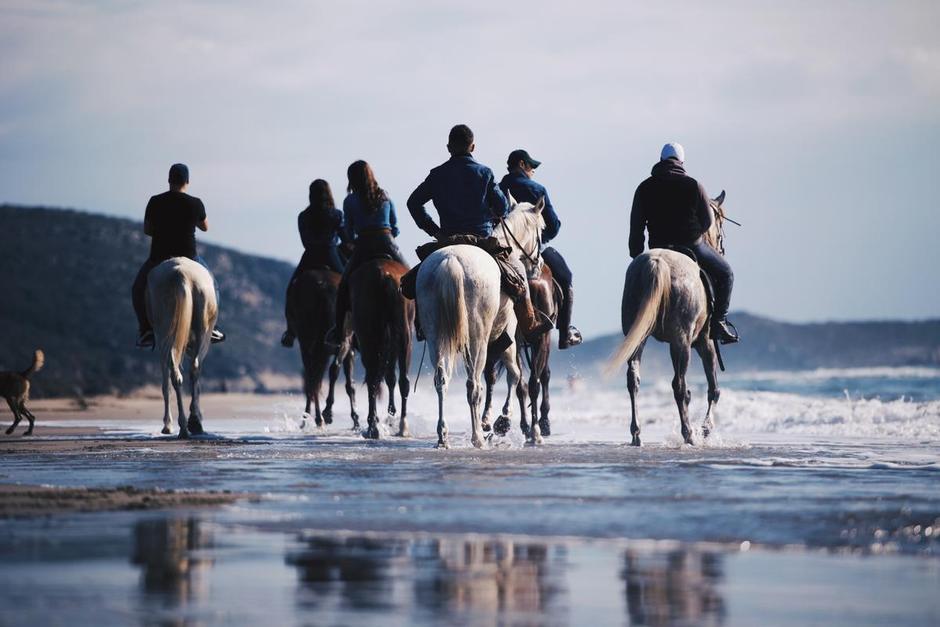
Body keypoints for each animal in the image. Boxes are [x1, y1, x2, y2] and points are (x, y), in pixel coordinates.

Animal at [147, 258, 218, 440]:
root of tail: (181, 274)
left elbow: (166, 384)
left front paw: (168, 424)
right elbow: (196, 383)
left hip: (164, 333)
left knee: (173, 376)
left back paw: (182, 426)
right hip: (202, 333)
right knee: (192, 370)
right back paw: (191, 423)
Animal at [284, 268, 358, 430]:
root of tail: (323, 286)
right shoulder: (349, 350)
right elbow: (349, 384)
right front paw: (355, 419)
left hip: (307, 341)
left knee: (312, 378)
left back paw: (315, 417)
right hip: (334, 343)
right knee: (327, 372)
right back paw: (324, 415)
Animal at [348, 258, 414, 440]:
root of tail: (384, 275)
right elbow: (390, 377)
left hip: (369, 337)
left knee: (374, 379)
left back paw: (374, 426)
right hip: (402, 336)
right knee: (402, 380)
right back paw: (401, 426)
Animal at [416, 199, 544, 448]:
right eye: (542, 230)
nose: (538, 264)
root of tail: (451, 261)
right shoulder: (508, 336)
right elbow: (515, 375)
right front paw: (502, 420)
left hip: (436, 336)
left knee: (441, 379)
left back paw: (443, 436)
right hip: (478, 338)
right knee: (473, 385)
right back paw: (477, 437)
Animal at [604, 191, 732, 446]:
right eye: (720, 224)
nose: (721, 248)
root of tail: (657, 262)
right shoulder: (706, 342)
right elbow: (714, 388)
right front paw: (706, 429)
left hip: (637, 337)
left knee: (633, 379)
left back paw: (637, 433)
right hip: (681, 342)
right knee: (679, 385)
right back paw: (689, 433)